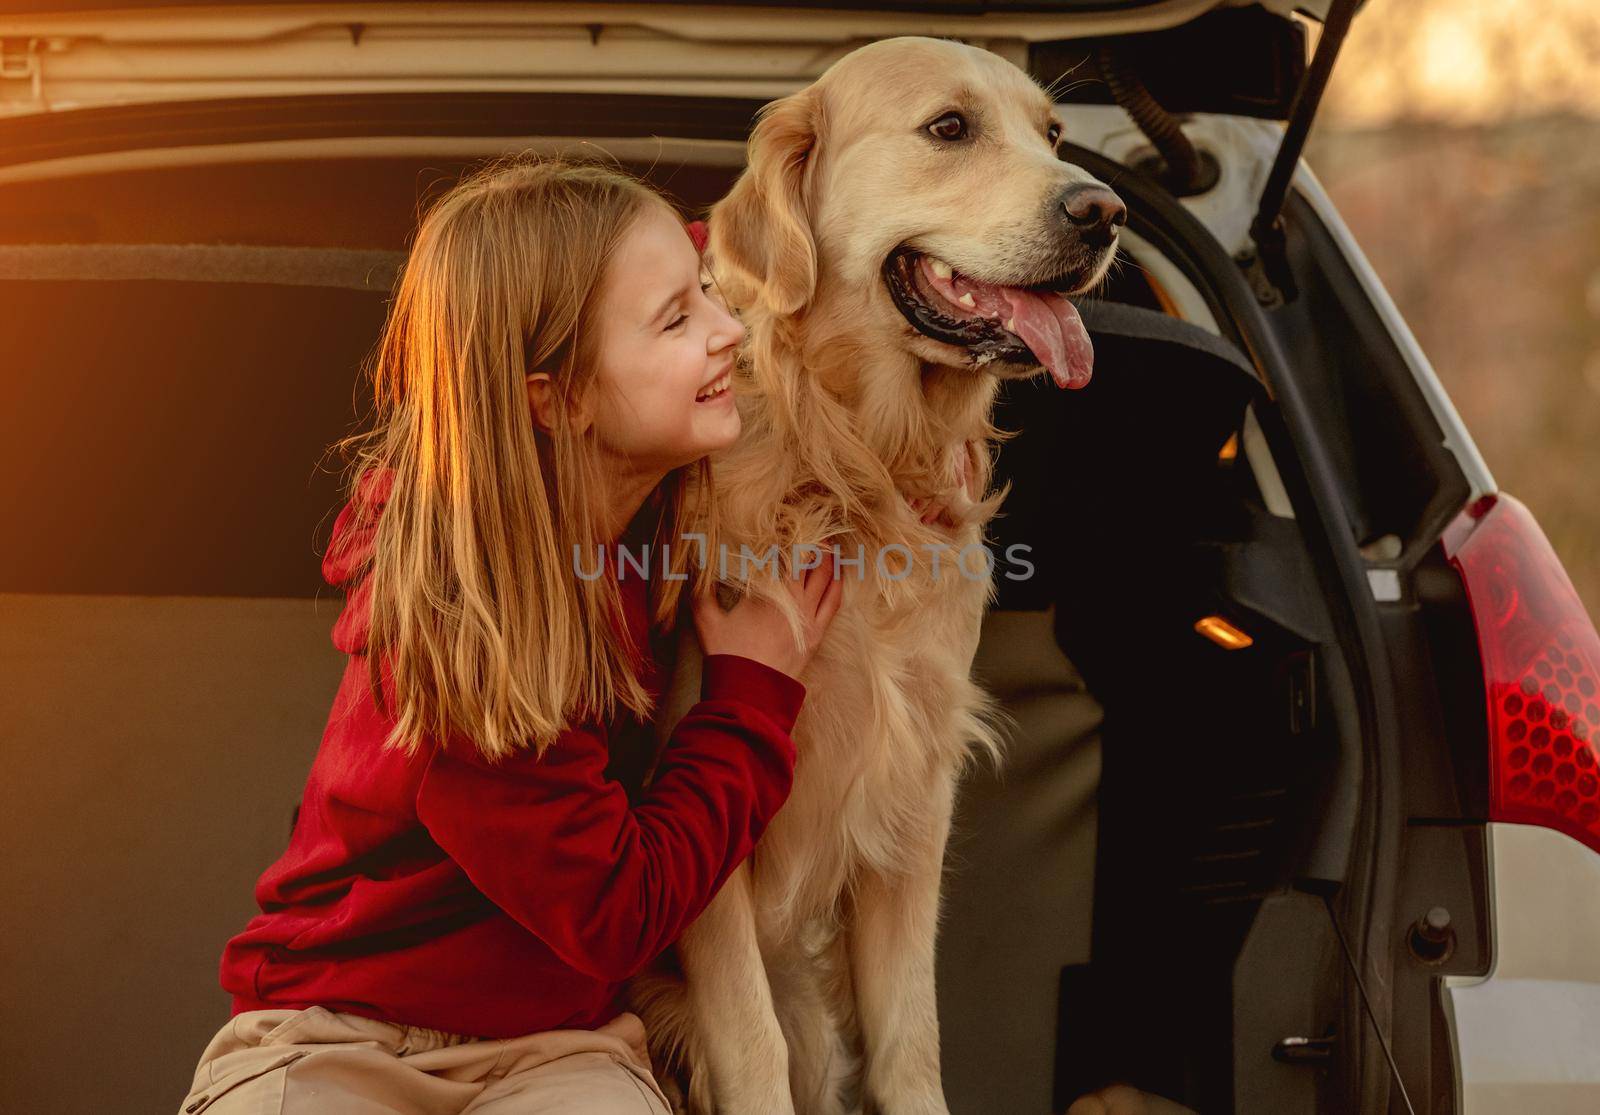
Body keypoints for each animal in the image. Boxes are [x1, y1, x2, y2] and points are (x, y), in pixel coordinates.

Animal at [617, 34, 1171, 1113]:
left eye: (1052, 134)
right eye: (948, 127)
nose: (1103, 211)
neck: (855, 468)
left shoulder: (911, 795)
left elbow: (911, 1041)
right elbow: (751, 1042)